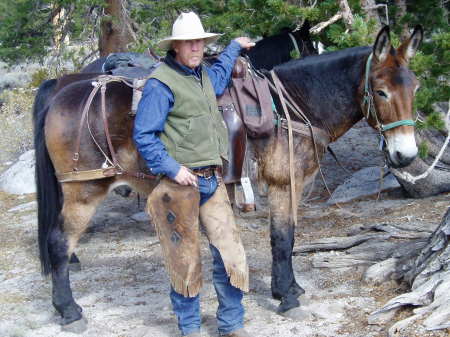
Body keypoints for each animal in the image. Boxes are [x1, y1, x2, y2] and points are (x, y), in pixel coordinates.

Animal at [34, 25, 422, 328]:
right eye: (382, 91)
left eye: (415, 87)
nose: (406, 155)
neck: (295, 105)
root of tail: (62, 90)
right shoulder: (284, 185)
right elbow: (282, 238)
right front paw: (287, 298)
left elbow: (288, 237)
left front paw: (289, 288)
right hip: (84, 190)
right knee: (59, 242)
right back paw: (69, 311)